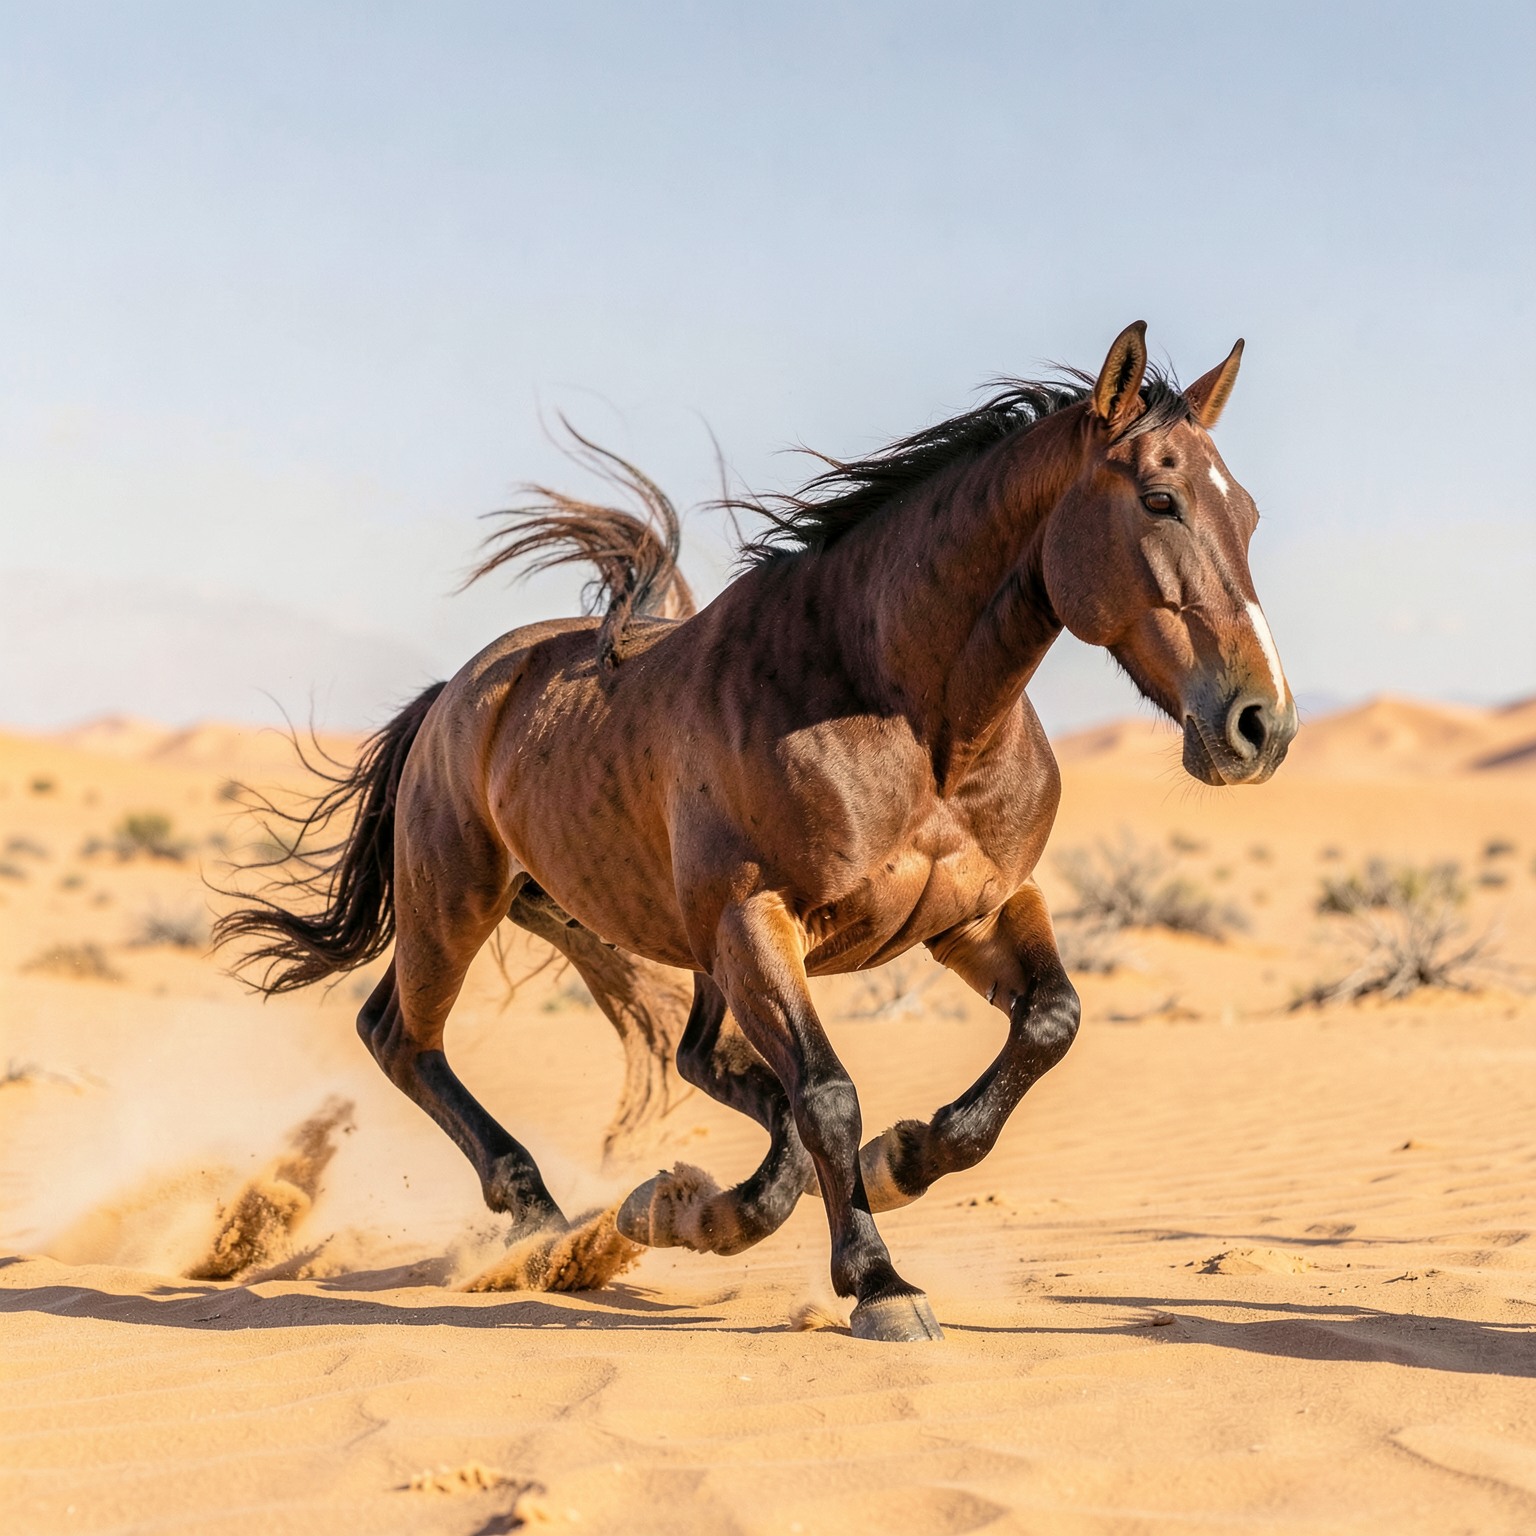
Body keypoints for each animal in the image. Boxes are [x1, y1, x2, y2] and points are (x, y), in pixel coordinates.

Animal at [219, 322, 1297, 1342]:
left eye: (1246, 513)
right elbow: (826, 1093)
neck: (906, 713)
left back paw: (665, 1213)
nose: (1263, 725)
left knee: (695, 1060)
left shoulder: (977, 915)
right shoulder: (757, 921)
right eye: (1159, 501)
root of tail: (459, 691)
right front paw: (879, 1282)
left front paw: (898, 1159)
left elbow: (1048, 1023)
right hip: (460, 904)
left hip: (611, 926)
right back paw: (544, 1224)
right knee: (402, 1037)